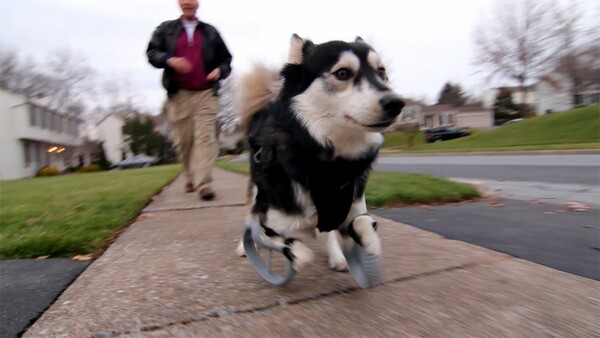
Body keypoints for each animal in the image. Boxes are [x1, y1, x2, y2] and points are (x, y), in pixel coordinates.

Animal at [234, 34, 404, 272]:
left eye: (381, 72)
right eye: (342, 73)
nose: (397, 103)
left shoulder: (350, 207)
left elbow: (362, 222)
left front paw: (367, 240)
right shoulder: (268, 224)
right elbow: (298, 250)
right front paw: (294, 254)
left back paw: (337, 256)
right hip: (257, 190)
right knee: (249, 217)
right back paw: (243, 246)